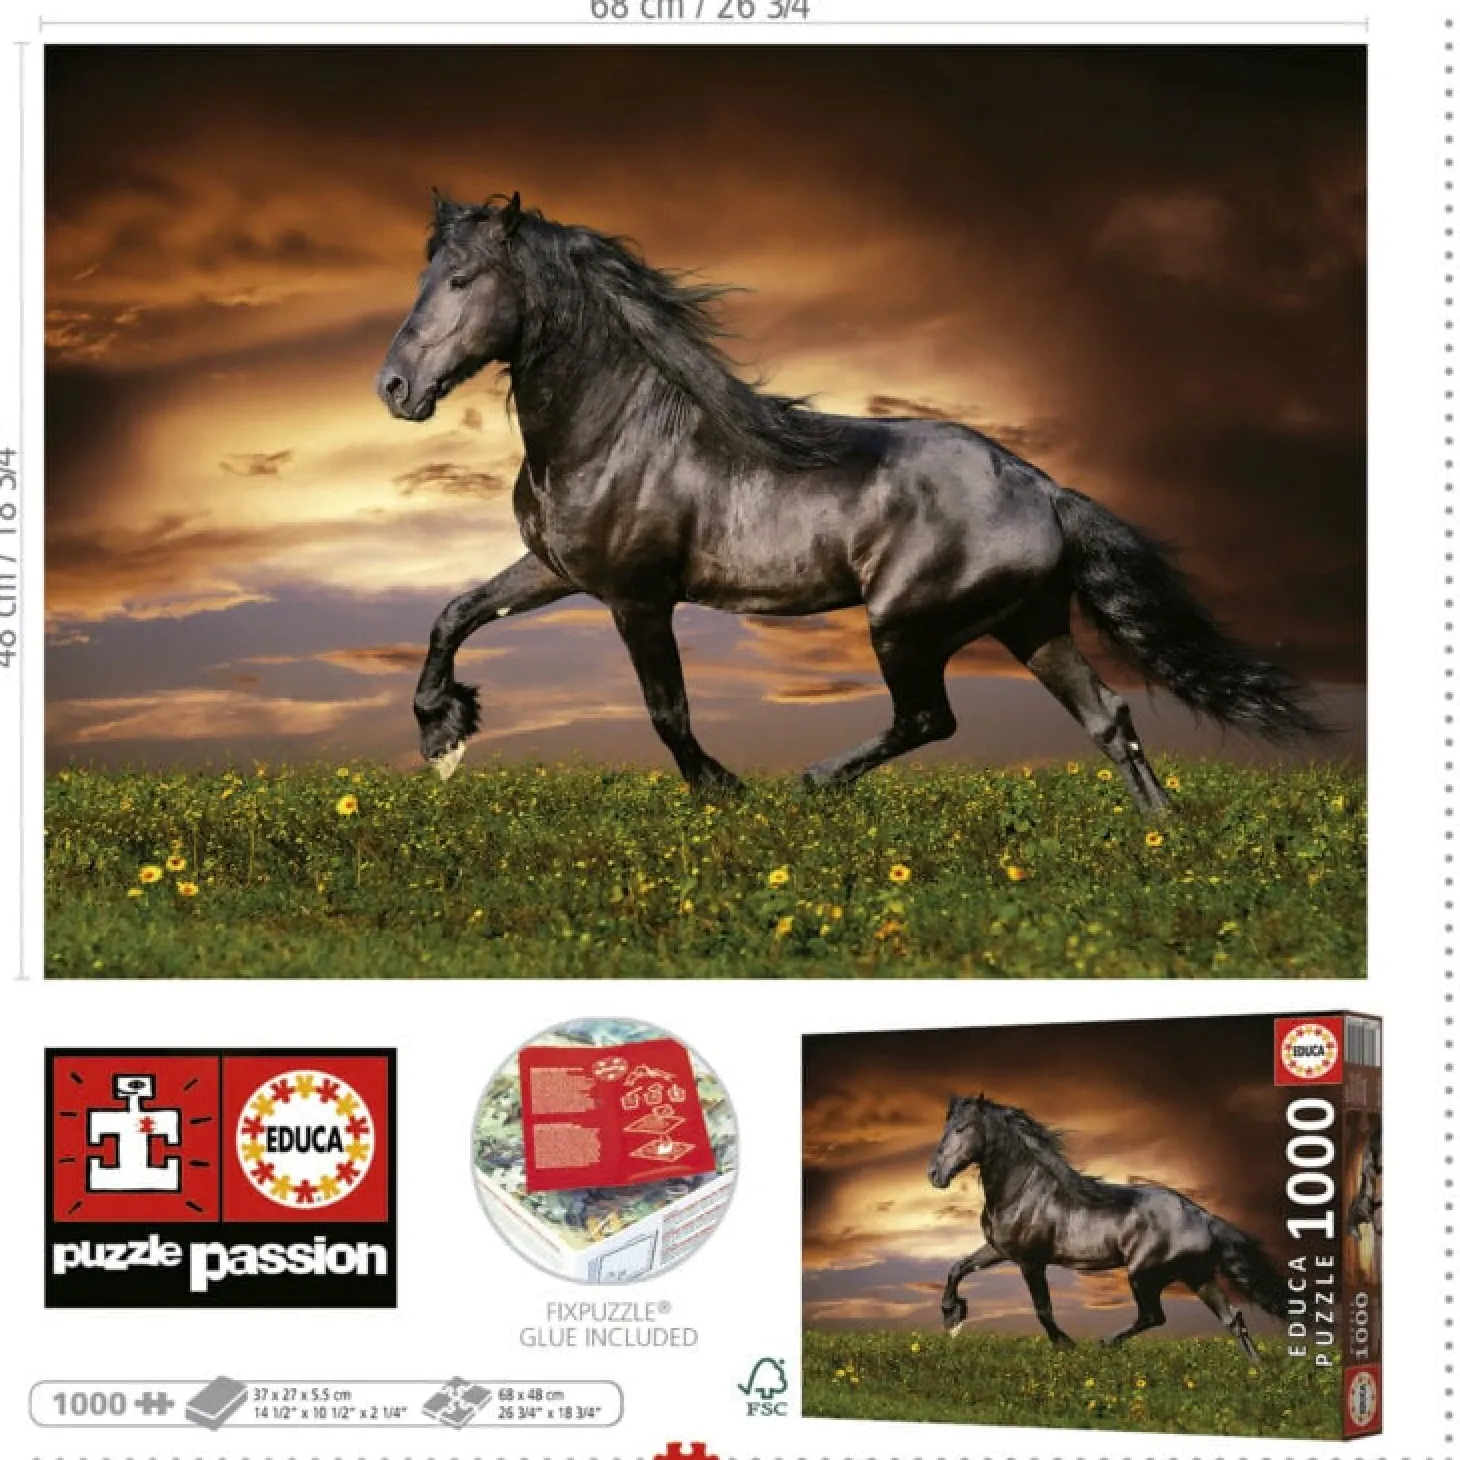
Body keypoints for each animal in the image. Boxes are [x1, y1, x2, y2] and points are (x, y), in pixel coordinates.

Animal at [377, 192, 1323, 809]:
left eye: (462, 280)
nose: (393, 388)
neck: (616, 429)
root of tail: (1045, 489)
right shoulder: (558, 569)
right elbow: (455, 614)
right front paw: (442, 734)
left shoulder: (637, 596)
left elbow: (667, 710)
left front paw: (725, 792)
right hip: (1031, 622)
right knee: (1108, 716)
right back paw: (1159, 838)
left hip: (906, 624)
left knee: (930, 718)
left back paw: (814, 783)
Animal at [928, 1094, 1285, 1359]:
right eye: (946, 1127)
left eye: (962, 1128)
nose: (934, 1174)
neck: (1023, 1192)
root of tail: (1202, 1216)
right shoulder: (998, 1249)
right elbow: (958, 1268)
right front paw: (952, 1314)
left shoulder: (1031, 1261)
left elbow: (1043, 1309)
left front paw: (1066, 1345)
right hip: (1196, 1276)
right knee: (1232, 1319)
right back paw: (1257, 1373)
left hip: (1145, 1274)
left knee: (1154, 1316)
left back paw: (1105, 1344)